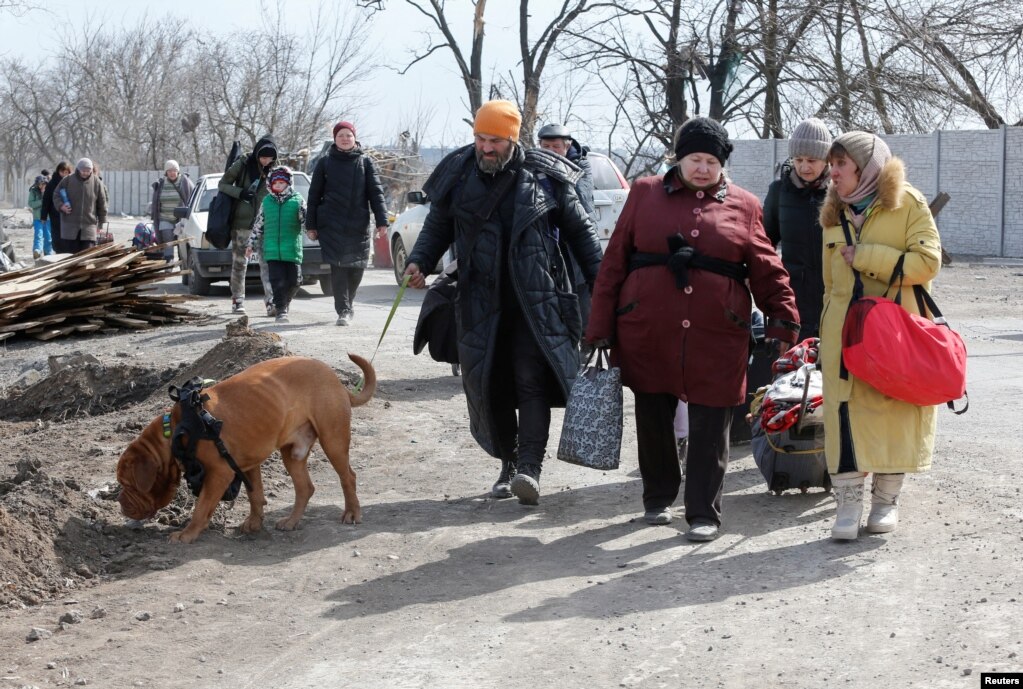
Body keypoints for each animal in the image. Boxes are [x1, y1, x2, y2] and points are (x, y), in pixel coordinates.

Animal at [118, 353, 376, 543]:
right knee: (305, 488)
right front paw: (254, 522)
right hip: (292, 453)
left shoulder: (220, 473)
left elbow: (201, 507)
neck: (177, 428)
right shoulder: (247, 464)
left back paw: (352, 512)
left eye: (127, 484)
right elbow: (255, 495)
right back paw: (292, 521)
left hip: (333, 440)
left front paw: (188, 533)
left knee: (348, 476)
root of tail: (334, 378)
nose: (120, 503)